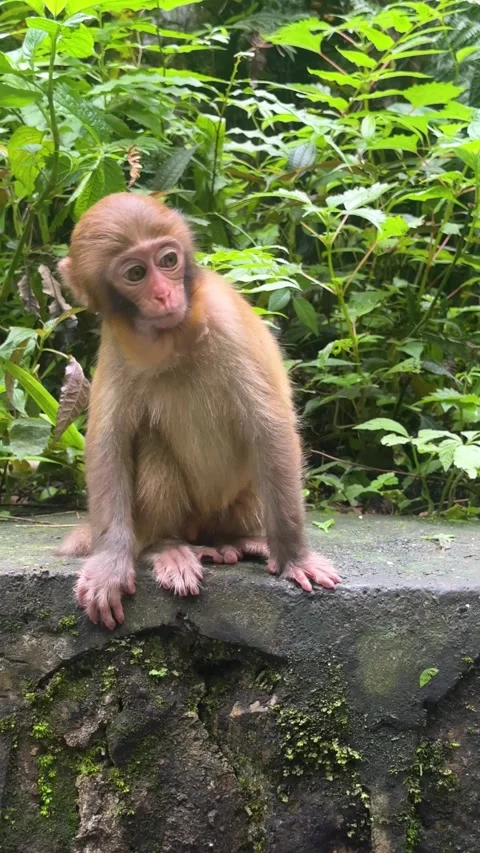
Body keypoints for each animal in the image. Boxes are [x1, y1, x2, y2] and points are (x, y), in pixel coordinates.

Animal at [57, 192, 341, 629]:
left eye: (168, 260)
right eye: (136, 273)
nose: (164, 295)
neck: (172, 340)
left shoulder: (225, 320)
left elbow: (269, 428)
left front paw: (296, 558)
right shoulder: (116, 344)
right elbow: (109, 444)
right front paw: (110, 564)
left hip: (238, 503)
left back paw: (239, 541)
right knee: (150, 443)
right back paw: (169, 547)